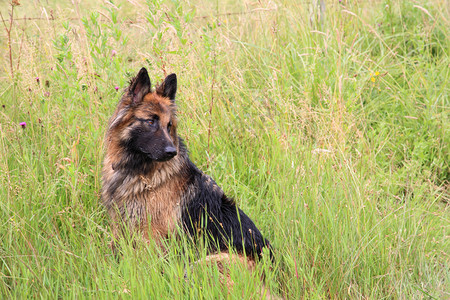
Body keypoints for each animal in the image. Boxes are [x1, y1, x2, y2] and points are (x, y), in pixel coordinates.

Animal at [101, 68, 270, 264]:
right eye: (150, 121)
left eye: (169, 125)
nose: (171, 152)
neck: (136, 169)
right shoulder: (120, 226)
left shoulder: (151, 234)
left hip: (210, 259)